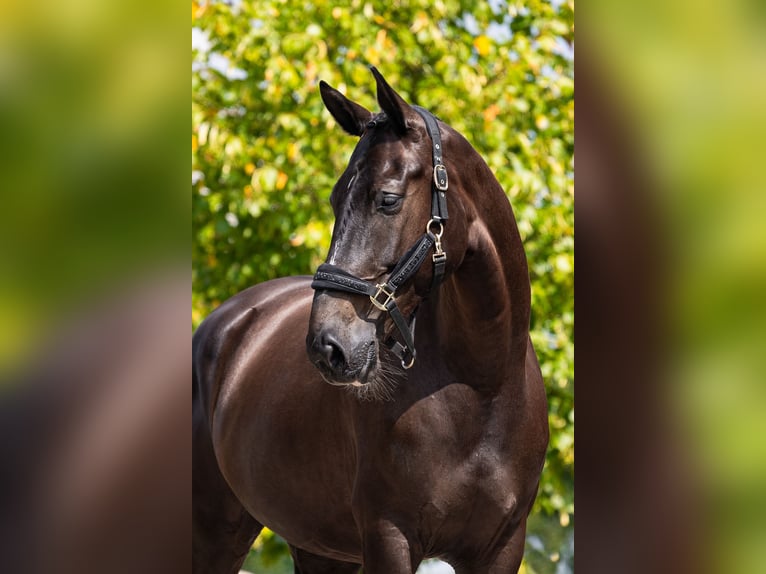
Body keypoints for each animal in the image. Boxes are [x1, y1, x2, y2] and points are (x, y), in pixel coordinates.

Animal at [195, 68, 548, 574]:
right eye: (333, 198)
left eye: (388, 199)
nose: (327, 346)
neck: (485, 388)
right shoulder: (389, 535)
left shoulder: (501, 549)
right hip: (215, 532)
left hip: (320, 549)